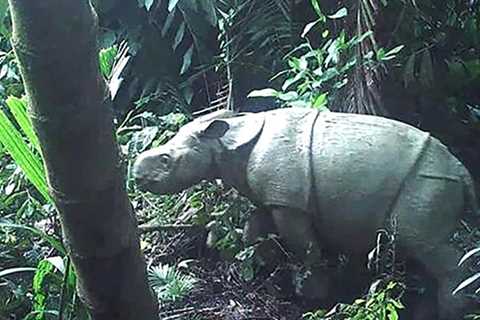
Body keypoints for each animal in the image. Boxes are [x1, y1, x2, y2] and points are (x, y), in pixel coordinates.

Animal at [131, 108, 476, 320]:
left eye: (166, 160)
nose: (136, 175)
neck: (225, 141)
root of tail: (463, 171)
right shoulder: (273, 197)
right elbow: (254, 229)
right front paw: (259, 271)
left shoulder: (290, 202)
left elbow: (305, 246)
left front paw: (311, 296)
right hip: (430, 181)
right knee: (422, 248)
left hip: (427, 180)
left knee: (426, 245)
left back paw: (453, 311)